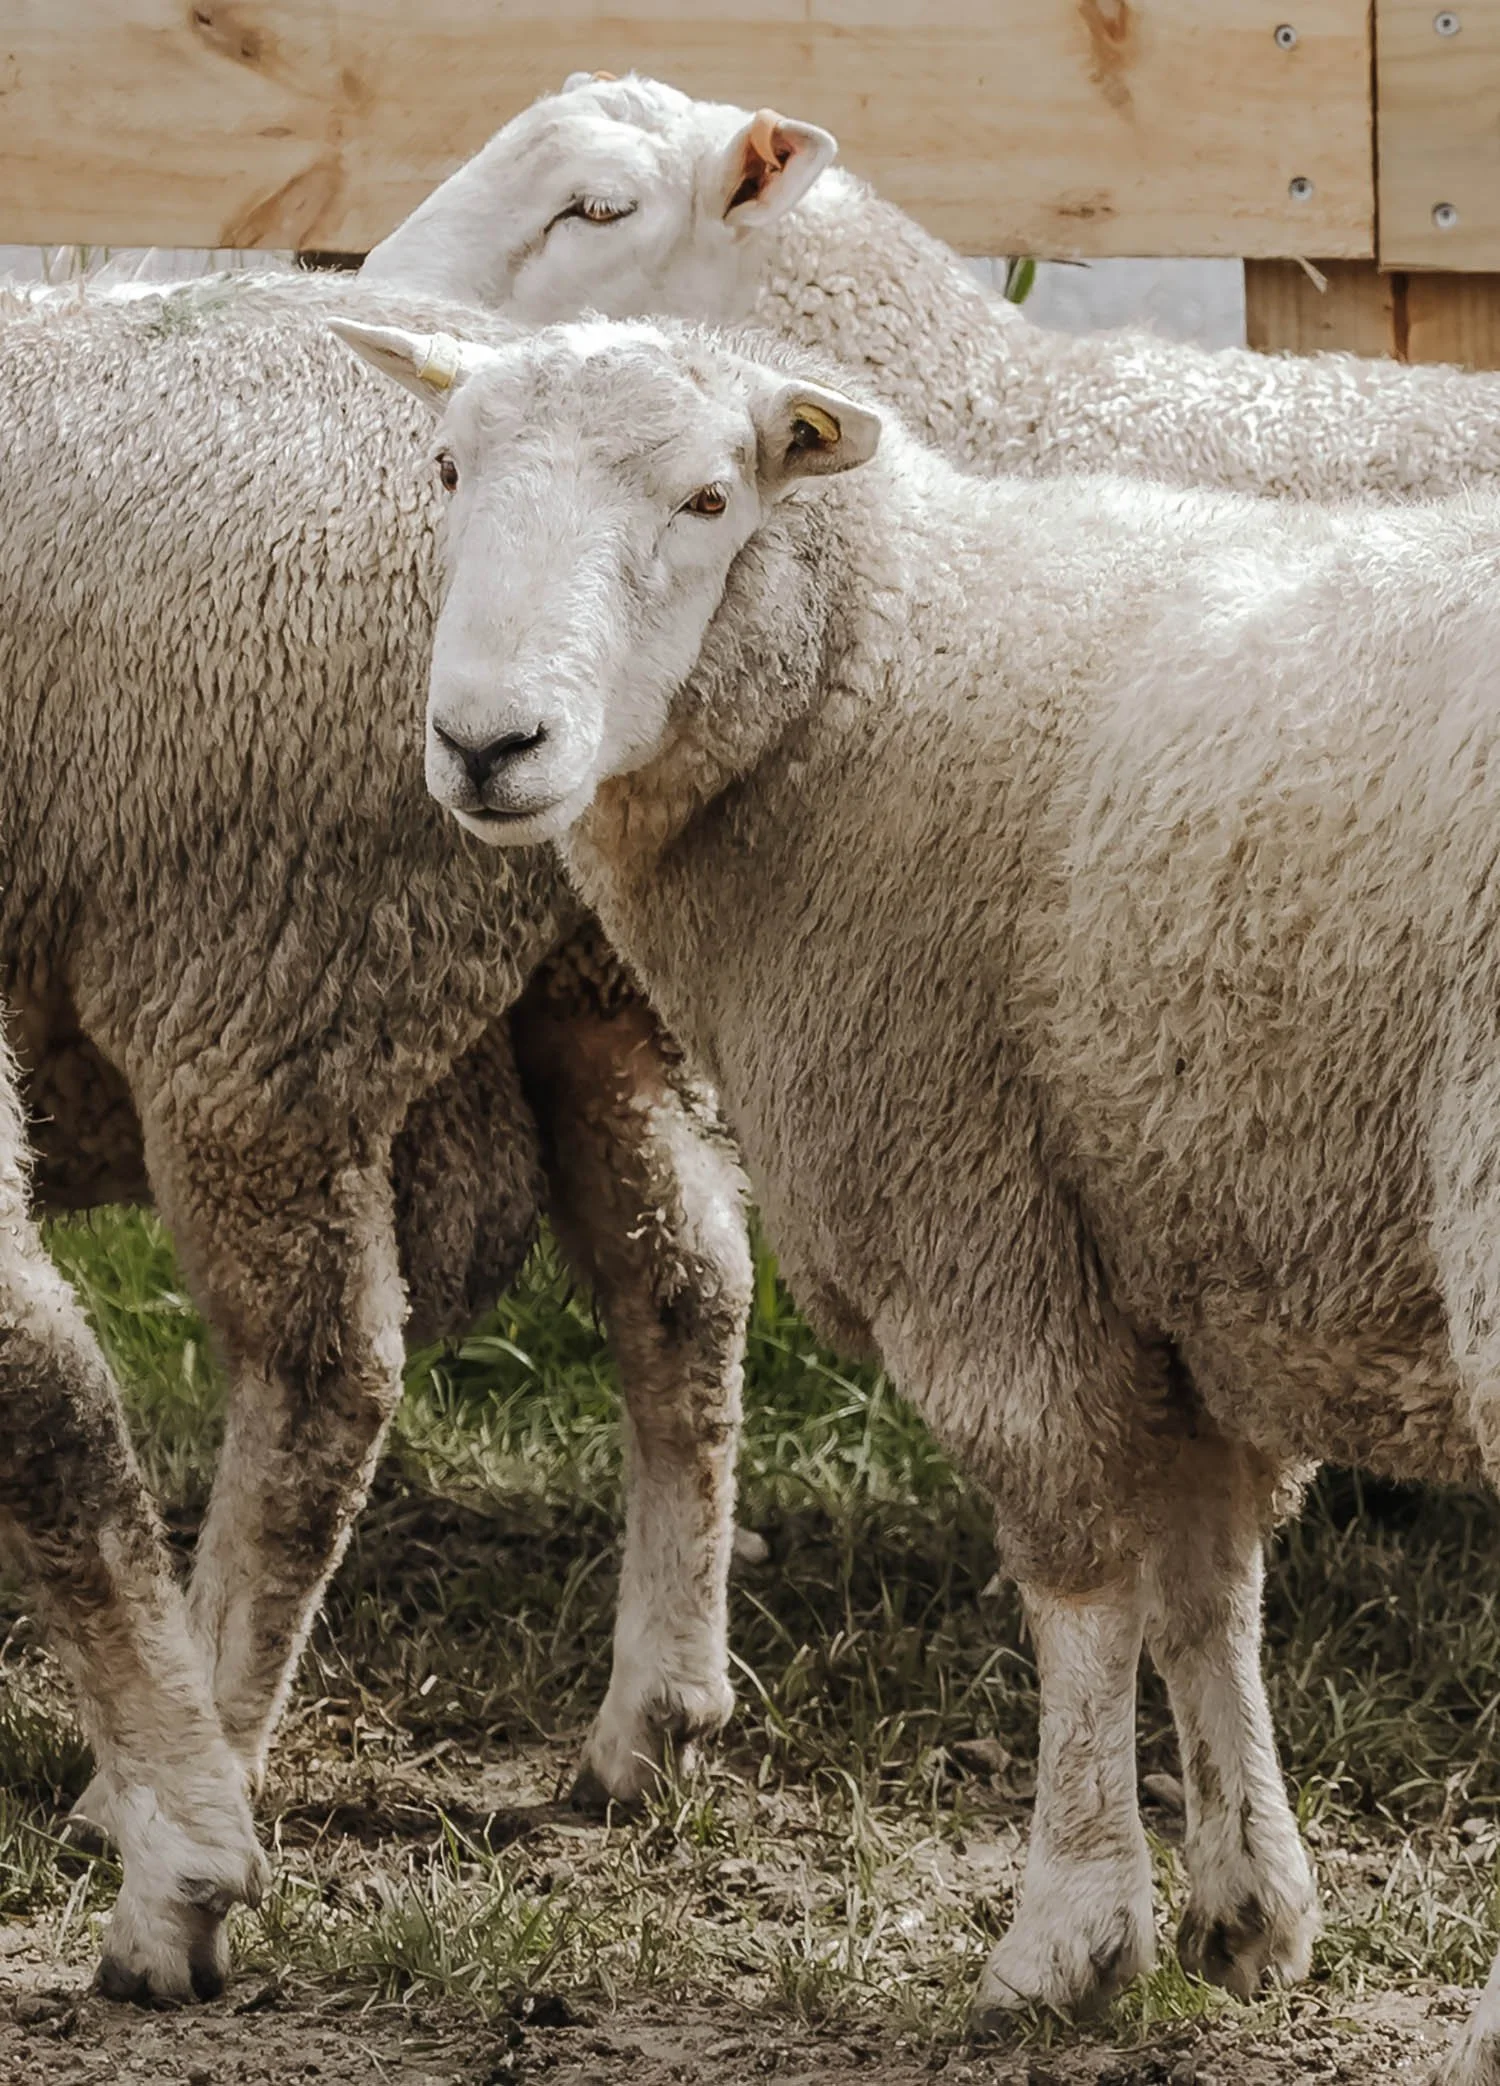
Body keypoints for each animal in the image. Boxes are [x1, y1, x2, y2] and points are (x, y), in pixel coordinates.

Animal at [336, 309, 1500, 2083]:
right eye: (450, 467)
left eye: (709, 498)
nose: (487, 743)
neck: (873, 677)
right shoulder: (1171, 1244)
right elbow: (1206, 1590)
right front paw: (1248, 1909)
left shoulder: (978, 1213)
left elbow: (1080, 1584)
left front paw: (1067, 1935)